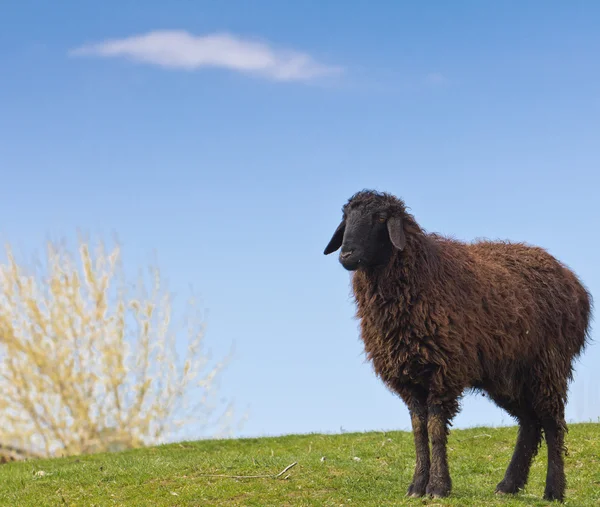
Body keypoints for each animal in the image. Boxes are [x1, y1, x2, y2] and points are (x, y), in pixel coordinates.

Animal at [324, 190, 592, 504]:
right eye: (346, 217)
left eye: (380, 217)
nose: (346, 255)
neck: (420, 276)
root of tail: (575, 284)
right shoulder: (410, 378)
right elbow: (418, 431)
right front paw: (417, 485)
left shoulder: (443, 372)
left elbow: (435, 429)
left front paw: (438, 487)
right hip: (508, 375)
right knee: (529, 423)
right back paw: (508, 485)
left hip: (547, 365)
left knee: (552, 423)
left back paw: (554, 490)